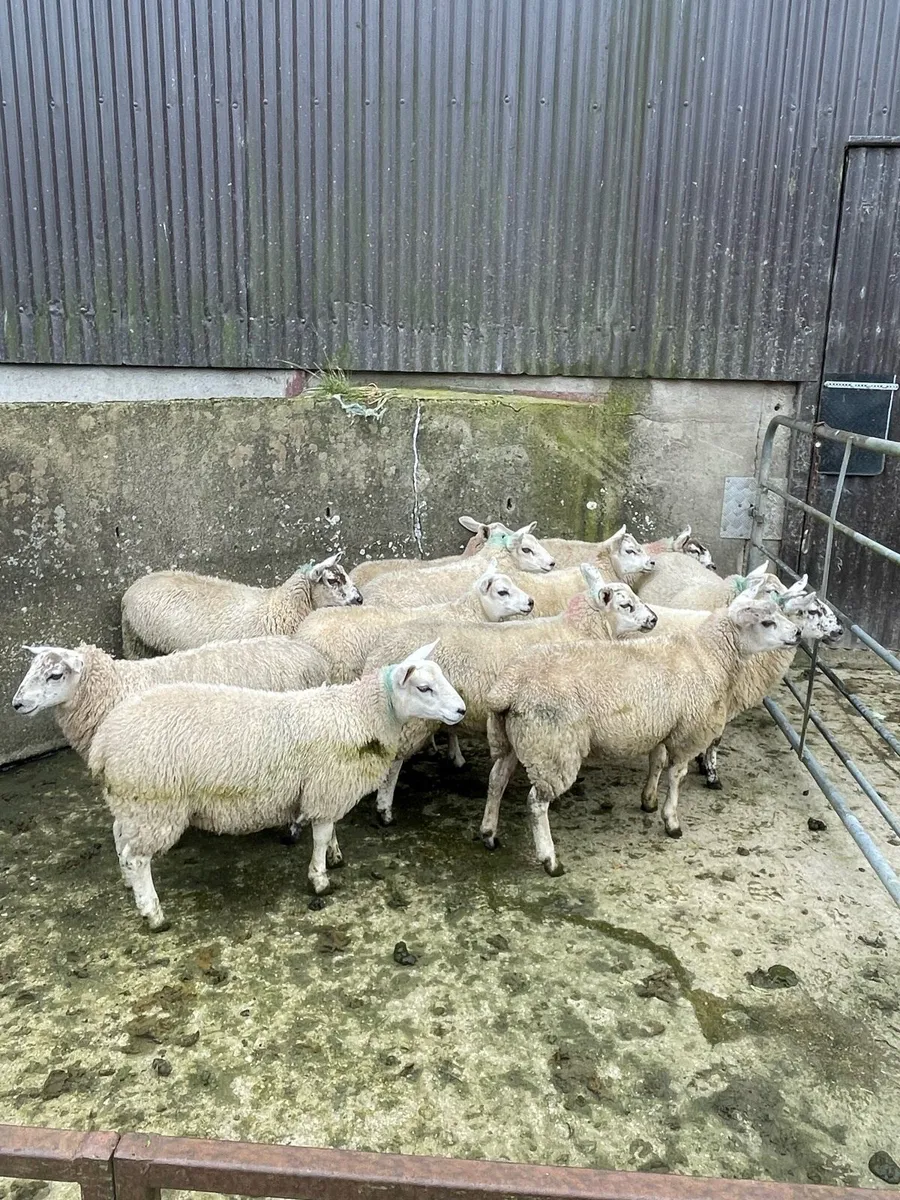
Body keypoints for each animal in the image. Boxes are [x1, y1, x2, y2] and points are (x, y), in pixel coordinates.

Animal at [87, 642, 465, 930]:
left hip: (131, 803)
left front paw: (334, 856)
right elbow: (321, 834)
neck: (361, 714)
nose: (461, 710)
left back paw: (128, 884)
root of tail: (103, 742)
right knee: (138, 858)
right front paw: (320, 879)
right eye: (424, 688)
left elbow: (328, 828)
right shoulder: (327, 786)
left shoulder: (324, 789)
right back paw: (152, 912)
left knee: (120, 838)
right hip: (154, 803)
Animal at [360, 570, 658, 826]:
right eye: (626, 605)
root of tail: (379, 653)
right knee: (394, 761)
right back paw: (384, 810)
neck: (577, 630)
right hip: (413, 719)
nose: (654, 619)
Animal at [481, 597, 801, 873]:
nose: (797, 632)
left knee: (497, 780)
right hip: (553, 747)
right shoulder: (688, 730)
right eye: (767, 622)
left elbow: (656, 762)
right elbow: (676, 774)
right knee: (536, 802)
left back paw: (489, 833)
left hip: (513, 739)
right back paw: (549, 860)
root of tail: (509, 688)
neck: (708, 655)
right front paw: (671, 821)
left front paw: (649, 800)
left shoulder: (661, 725)